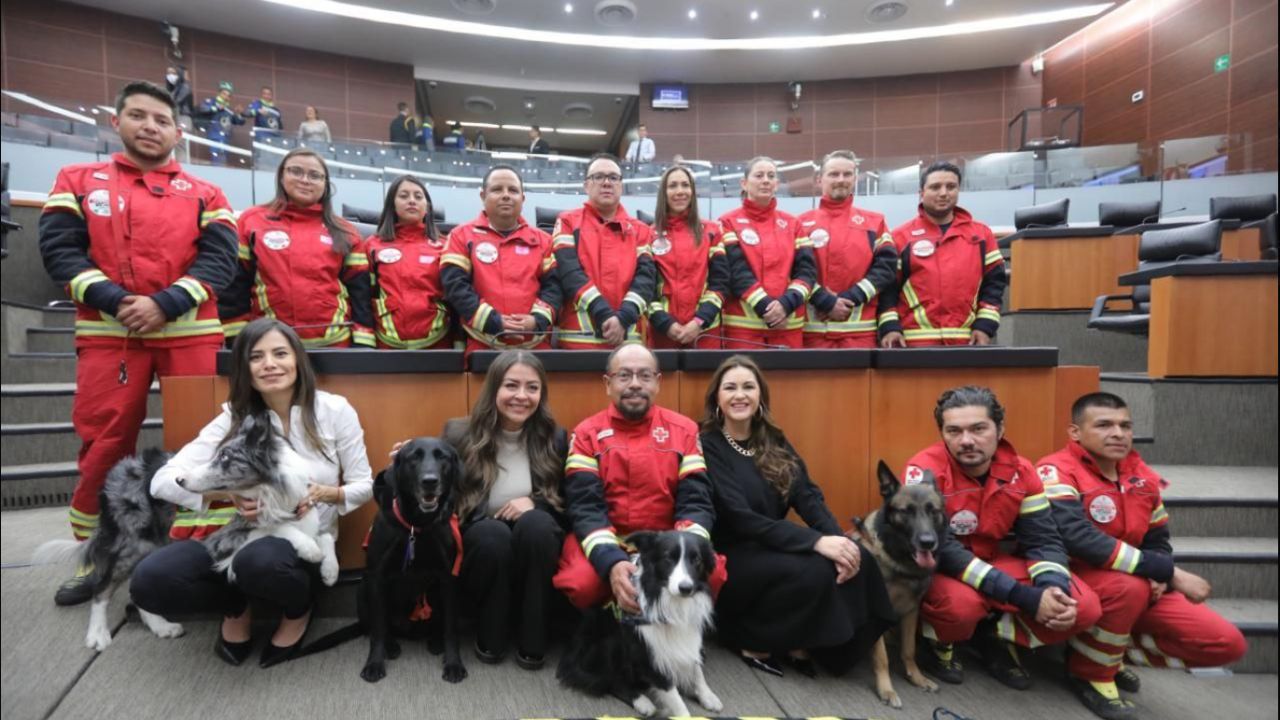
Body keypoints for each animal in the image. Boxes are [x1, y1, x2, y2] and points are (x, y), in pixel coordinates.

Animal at [296, 435, 468, 681]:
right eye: (414, 457)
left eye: (442, 457)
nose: (429, 481)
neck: (416, 526)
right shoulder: (377, 577)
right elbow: (378, 629)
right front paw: (374, 663)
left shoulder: (448, 578)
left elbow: (450, 627)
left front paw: (453, 663)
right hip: (363, 588)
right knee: (377, 627)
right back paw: (391, 646)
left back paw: (435, 641)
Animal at [558, 527, 727, 717]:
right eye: (668, 557)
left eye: (696, 559)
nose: (685, 588)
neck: (671, 602)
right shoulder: (650, 652)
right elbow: (672, 693)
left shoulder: (687, 637)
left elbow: (696, 668)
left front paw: (706, 695)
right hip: (610, 643)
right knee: (612, 681)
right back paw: (642, 702)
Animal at [855, 458, 947, 707]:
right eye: (906, 512)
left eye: (932, 511)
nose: (928, 542)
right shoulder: (879, 614)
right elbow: (882, 657)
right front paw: (886, 689)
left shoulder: (911, 611)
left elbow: (909, 650)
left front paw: (916, 678)